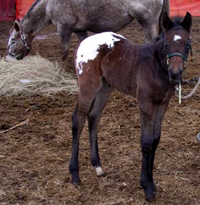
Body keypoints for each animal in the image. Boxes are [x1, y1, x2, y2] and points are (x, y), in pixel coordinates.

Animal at [5, 0, 169, 60]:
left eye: (13, 41)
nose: (8, 58)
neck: (49, 5)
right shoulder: (79, 30)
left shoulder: (64, 29)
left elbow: (63, 52)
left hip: (147, 22)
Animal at [69, 11, 192, 202]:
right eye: (166, 45)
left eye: (188, 45)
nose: (175, 73)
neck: (156, 67)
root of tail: (83, 42)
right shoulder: (145, 104)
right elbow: (146, 141)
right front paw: (146, 187)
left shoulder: (162, 105)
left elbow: (155, 139)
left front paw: (152, 183)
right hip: (89, 86)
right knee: (78, 120)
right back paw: (75, 174)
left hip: (105, 87)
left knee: (94, 117)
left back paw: (97, 166)